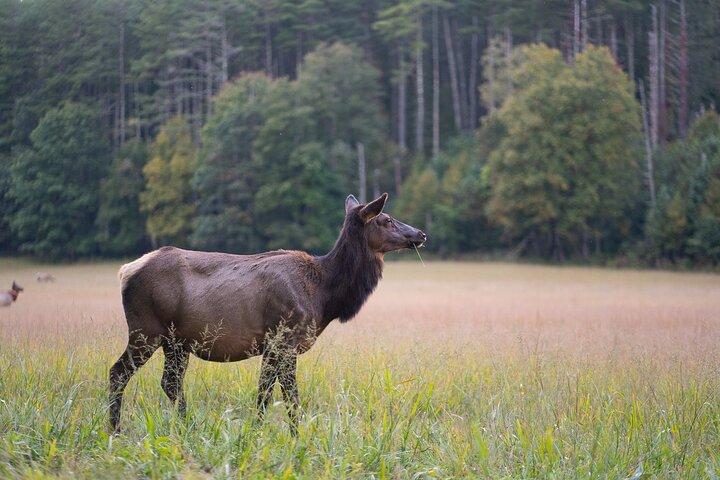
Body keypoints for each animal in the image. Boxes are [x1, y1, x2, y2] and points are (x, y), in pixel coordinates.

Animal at [109, 193, 426, 434]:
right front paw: (295, 436)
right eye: (386, 219)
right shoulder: (284, 338)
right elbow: (288, 396)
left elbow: (264, 393)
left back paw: (187, 427)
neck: (323, 295)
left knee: (171, 382)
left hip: (176, 341)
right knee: (118, 373)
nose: (421, 233)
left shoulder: (272, 346)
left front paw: (258, 433)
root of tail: (125, 271)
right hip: (145, 329)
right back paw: (115, 429)